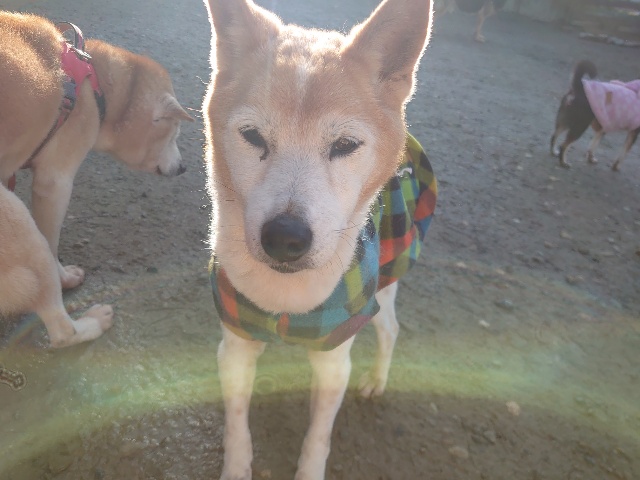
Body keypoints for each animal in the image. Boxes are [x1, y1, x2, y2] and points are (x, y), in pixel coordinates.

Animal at [0, 11, 193, 303]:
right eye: (174, 135)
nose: (183, 167)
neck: (95, 88)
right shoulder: (54, 184)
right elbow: (49, 242)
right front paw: (63, 278)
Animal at [203, 0, 437, 478]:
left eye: (345, 145)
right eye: (252, 136)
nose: (285, 237)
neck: (285, 298)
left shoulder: (333, 362)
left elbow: (317, 438)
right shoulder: (234, 349)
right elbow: (237, 429)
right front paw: (236, 466)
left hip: (383, 290)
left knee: (390, 329)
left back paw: (377, 380)